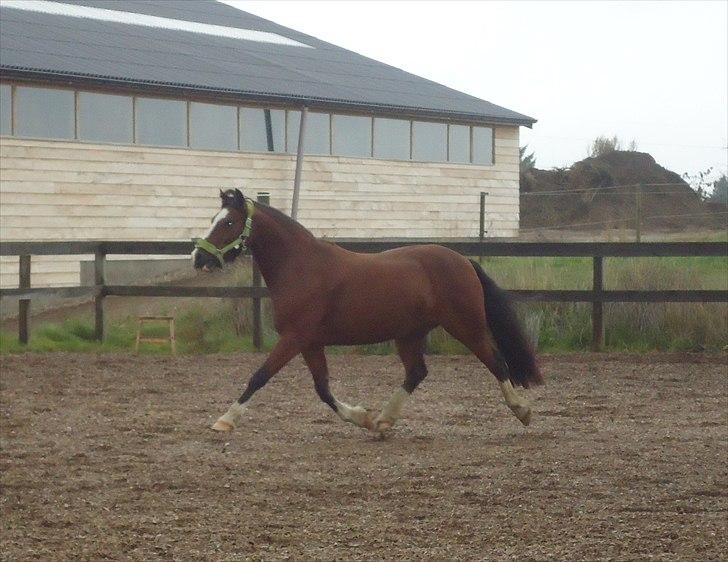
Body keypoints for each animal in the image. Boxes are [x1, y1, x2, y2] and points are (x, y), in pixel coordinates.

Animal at [191, 188, 544, 434]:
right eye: (211, 220)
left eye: (229, 222)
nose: (198, 258)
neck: (301, 267)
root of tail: (463, 260)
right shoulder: (310, 343)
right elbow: (323, 389)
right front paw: (363, 418)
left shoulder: (294, 338)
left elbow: (259, 376)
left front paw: (225, 420)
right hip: (409, 334)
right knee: (417, 373)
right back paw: (384, 421)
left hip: (465, 325)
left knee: (497, 362)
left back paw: (522, 411)